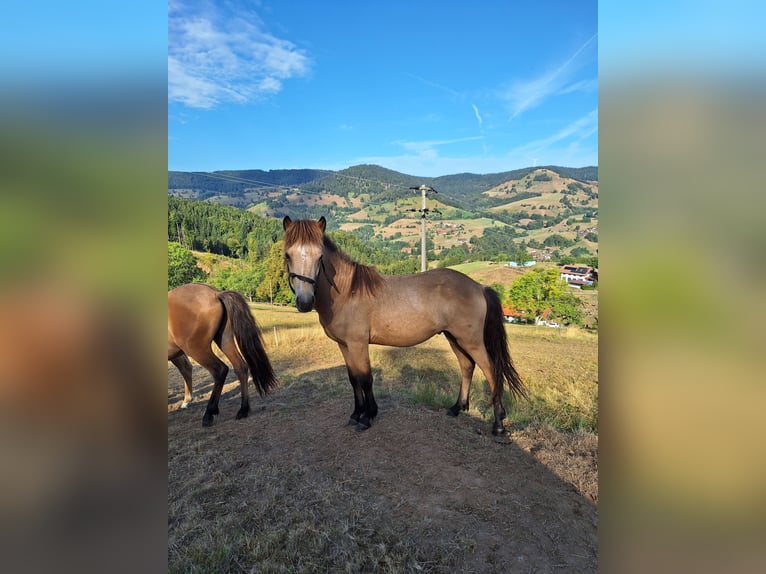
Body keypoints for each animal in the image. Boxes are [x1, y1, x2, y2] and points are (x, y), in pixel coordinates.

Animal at [168, 283, 277, 426]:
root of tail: (216, 294)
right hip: (224, 340)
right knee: (240, 367)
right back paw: (243, 410)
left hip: (196, 349)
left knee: (219, 370)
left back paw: (209, 413)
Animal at [282, 216, 526, 435]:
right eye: (287, 255)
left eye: (319, 256)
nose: (304, 301)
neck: (347, 291)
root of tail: (479, 287)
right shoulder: (344, 345)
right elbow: (353, 379)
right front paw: (355, 414)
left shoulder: (358, 344)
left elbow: (366, 379)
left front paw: (367, 417)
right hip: (454, 338)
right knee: (467, 367)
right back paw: (456, 408)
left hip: (471, 341)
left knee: (491, 371)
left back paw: (498, 425)